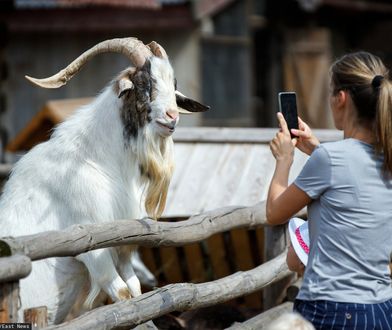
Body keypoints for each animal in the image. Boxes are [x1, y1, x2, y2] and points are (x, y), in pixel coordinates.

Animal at [0, 37, 208, 324]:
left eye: (173, 84)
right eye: (144, 83)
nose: (171, 117)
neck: (94, 160)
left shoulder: (122, 247)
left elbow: (136, 291)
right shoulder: (91, 250)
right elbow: (122, 294)